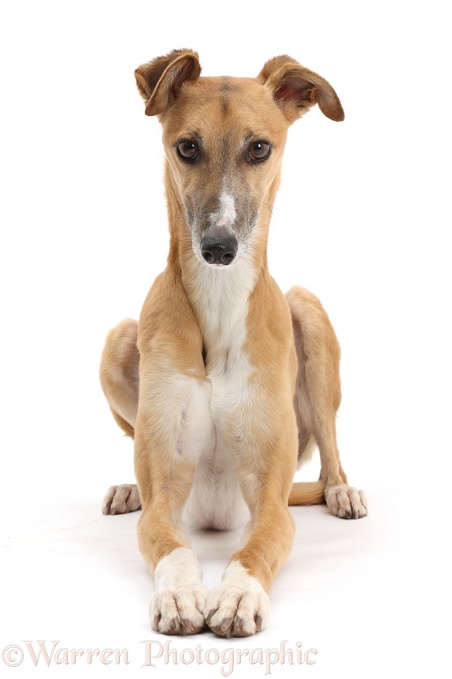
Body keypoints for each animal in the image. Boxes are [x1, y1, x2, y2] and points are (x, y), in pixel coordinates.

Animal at [100, 50, 368, 640]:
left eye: (259, 148)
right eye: (187, 147)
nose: (218, 247)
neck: (220, 303)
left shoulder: (270, 498)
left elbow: (257, 547)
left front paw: (239, 594)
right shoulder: (166, 491)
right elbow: (170, 543)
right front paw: (180, 593)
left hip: (308, 312)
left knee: (329, 453)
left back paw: (342, 490)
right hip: (117, 342)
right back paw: (127, 488)